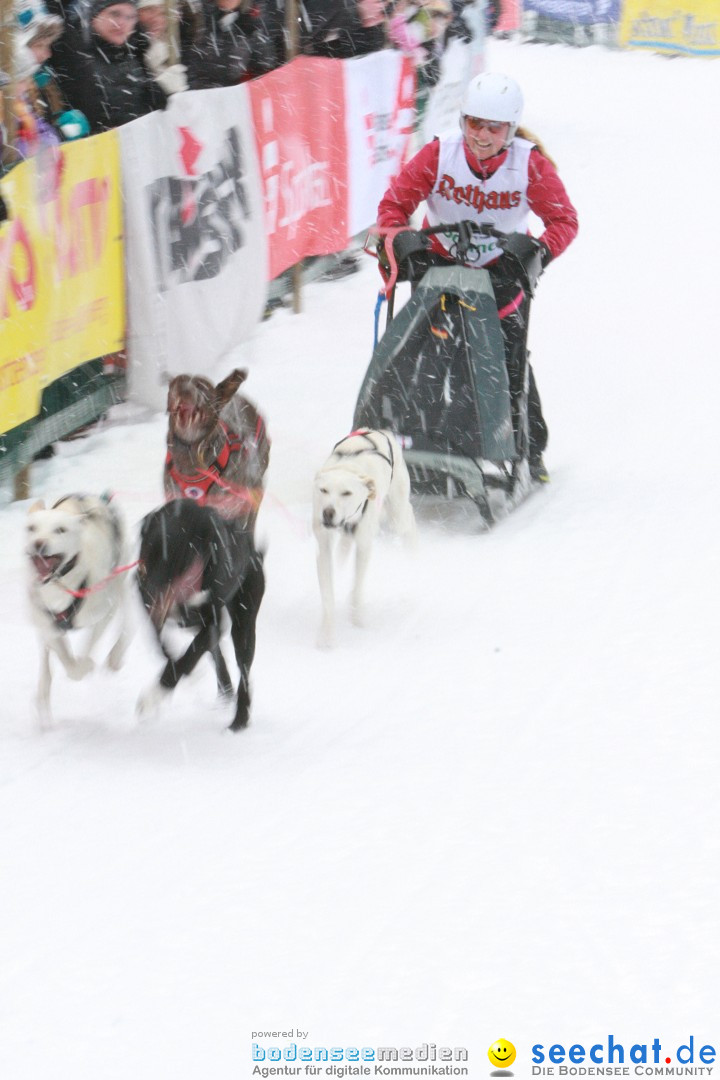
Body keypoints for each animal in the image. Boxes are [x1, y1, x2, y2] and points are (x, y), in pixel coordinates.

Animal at [24, 494, 131, 730]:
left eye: (60, 530)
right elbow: (64, 658)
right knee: (45, 670)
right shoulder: (49, 627)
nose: (38, 543)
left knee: (128, 623)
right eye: (32, 528)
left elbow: (87, 648)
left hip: (120, 583)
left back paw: (115, 655)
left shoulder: (104, 613)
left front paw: (86, 666)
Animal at [136, 501, 264, 730]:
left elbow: (187, 657)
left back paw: (239, 720)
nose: (148, 591)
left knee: (244, 668)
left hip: (244, 621)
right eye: (147, 549)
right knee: (216, 652)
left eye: (174, 554)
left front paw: (154, 696)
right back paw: (226, 691)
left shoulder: (212, 621)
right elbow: (163, 647)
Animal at [310, 429, 416, 648]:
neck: (348, 466)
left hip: (398, 515)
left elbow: (358, 586)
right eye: (323, 490)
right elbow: (328, 596)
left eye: (346, 493)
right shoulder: (323, 546)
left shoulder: (364, 544)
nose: (327, 513)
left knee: (408, 520)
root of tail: (381, 431)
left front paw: (357, 619)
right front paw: (326, 635)